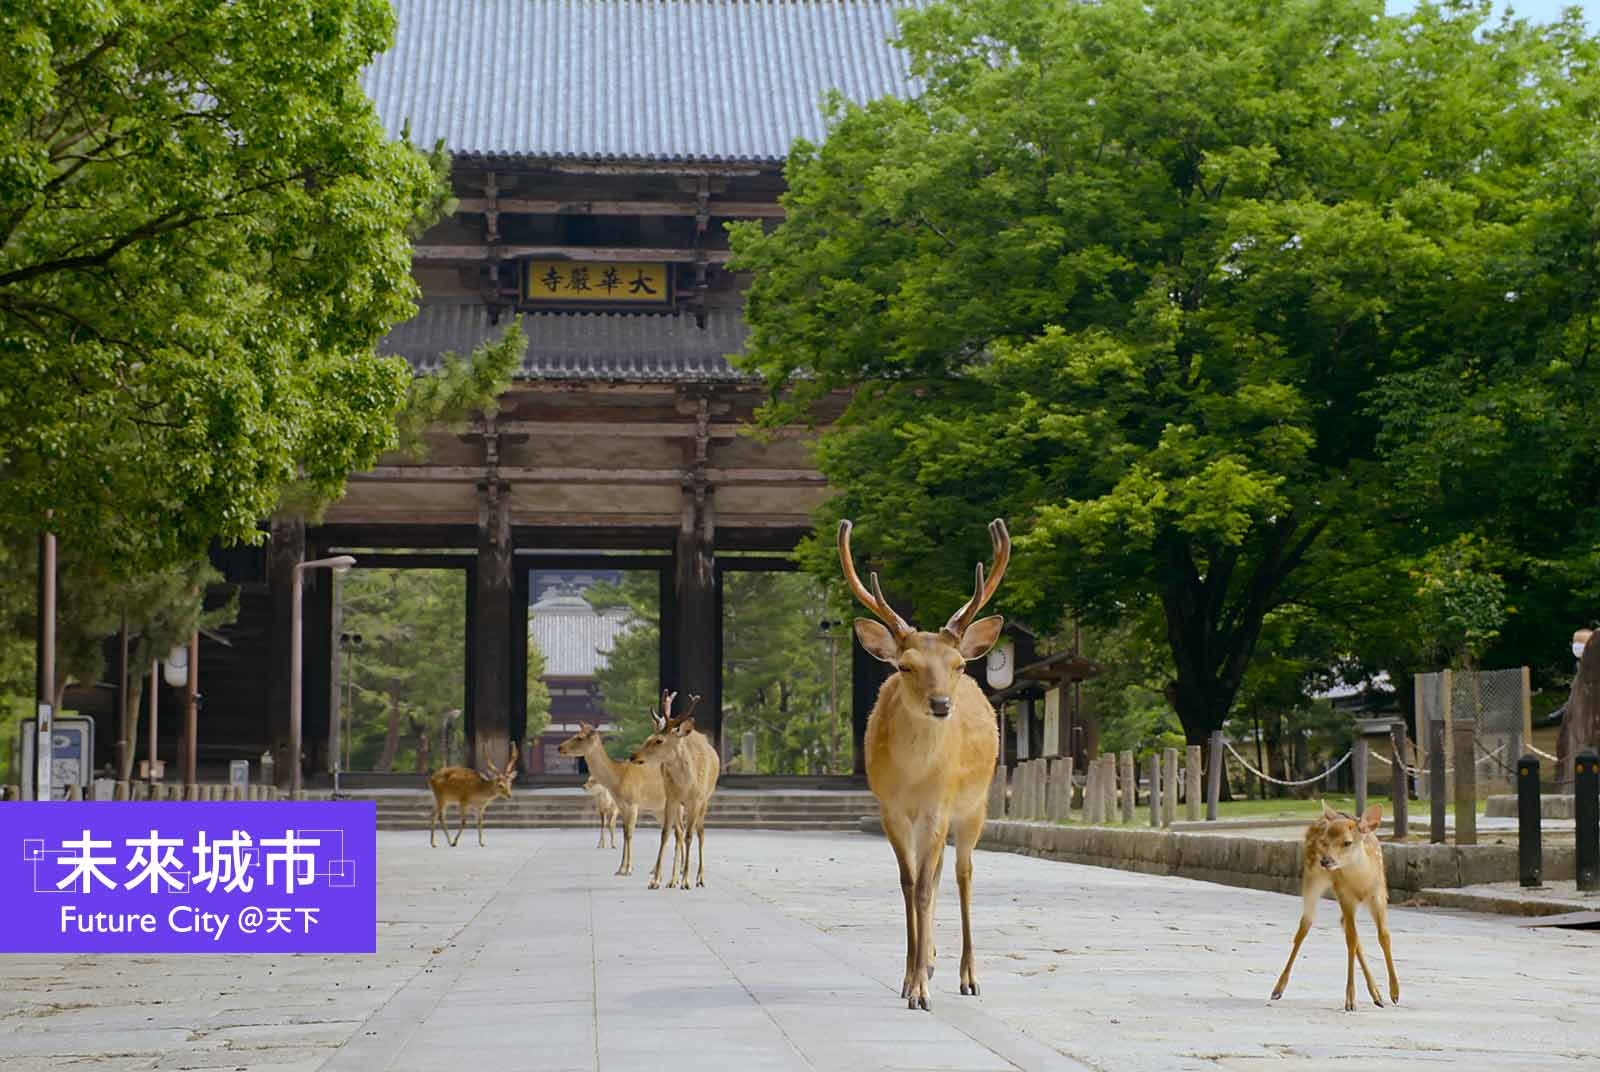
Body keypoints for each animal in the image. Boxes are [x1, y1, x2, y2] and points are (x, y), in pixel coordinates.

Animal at [556, 716, 675, 876]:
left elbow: (629, 833)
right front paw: (620, 869)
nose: (560, 747)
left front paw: (628, 868)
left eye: (579, 737)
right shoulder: (621, 806)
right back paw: (656, 870)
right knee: (671, 830)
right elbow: (624, 832)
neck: (617, 778)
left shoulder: (633, 803)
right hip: (659, 809)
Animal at [627, 694, 723, 896]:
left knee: (700, 832)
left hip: (706, 799)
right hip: (679, 805)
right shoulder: (671, 798)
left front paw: (686, 881)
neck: (686, 784)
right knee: (678, 833)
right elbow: (665, 834)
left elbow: (690, 836)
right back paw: (672, 879)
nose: (633, 756)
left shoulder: (696, 800)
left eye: (658, 741)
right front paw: (655, 880)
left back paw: (699, 878)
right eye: (648, 737)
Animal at [844, 521, 1004, 1017]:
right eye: (905, 666)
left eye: (958, 665)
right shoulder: (890, 809)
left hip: (974, 805)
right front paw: (911, 980)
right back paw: (930, 963)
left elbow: (925, 889)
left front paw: (920, 991)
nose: (941, 704)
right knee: (933, 874)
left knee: (963, 874)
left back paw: (969, 977)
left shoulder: (939, 805)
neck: (914, 779)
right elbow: (909, 883)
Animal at [1273, 806, 1401, 1017]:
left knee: (1343, 925)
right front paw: (1350, 1001)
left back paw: (1377, 996)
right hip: (1312, 877)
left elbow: (1384, 936)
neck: (1361, 882)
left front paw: (1395, 993)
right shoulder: (1344, 894)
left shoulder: (1379, 894)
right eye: (1325, 842)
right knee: (1305, 925)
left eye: (1347, 842)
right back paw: (1277, 989)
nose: (1326, 860)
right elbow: (1351, 940)